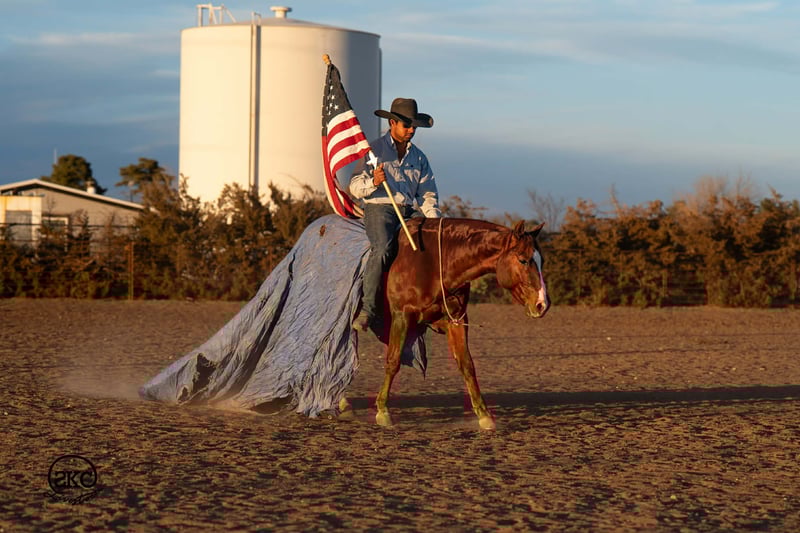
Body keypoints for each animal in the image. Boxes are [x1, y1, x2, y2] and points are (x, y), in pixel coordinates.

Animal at [357, 216, 550, 430]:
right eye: (523, 260)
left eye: (542, 261)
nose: (542, 304)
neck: (433, 263)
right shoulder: (401, 316)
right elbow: (393, 361)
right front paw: (383, 411)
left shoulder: (456, 320)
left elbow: (466, 364)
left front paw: (484, 415)